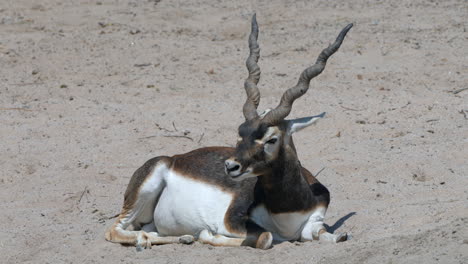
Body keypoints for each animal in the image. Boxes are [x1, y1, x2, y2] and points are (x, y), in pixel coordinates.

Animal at [104, 13, 352, 250]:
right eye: (240, 133)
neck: (287, 211)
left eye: (271, 139)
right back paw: (151, 240)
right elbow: (265, 237)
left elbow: (333, 237)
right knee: (114, 230)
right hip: (142, 193)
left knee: (151, 231)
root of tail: (173, 159)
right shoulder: (232, 222)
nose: (231, 166)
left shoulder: (315, 222)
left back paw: (182, 237)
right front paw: (207, 234)